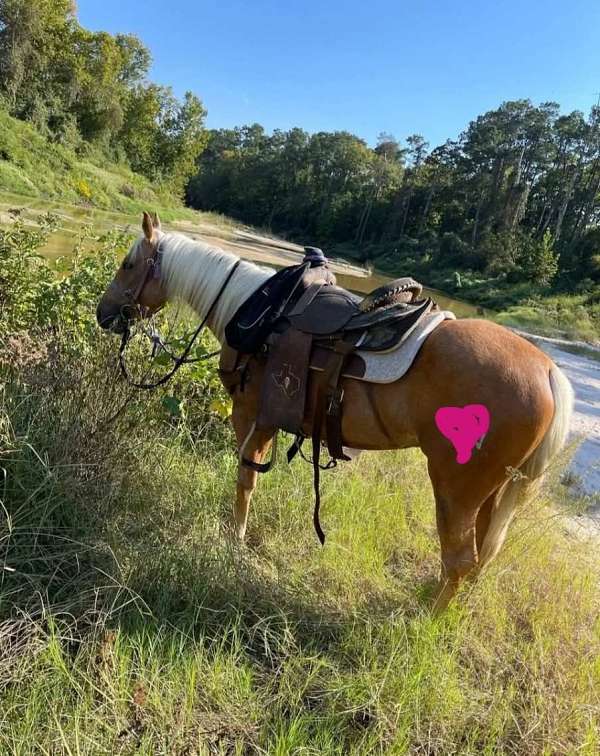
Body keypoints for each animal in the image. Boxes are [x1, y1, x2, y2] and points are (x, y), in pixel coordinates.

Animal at [96, 212, 574, 611]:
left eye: (128, 264)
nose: (104, 315)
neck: (253, 311)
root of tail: (548, 370)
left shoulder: (251, 415)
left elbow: (245, 481)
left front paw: (234, 539)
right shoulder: (268, 421)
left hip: (457, 489)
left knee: (459, 559)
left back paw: (424, 621)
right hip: (495, 492)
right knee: (480, 558)